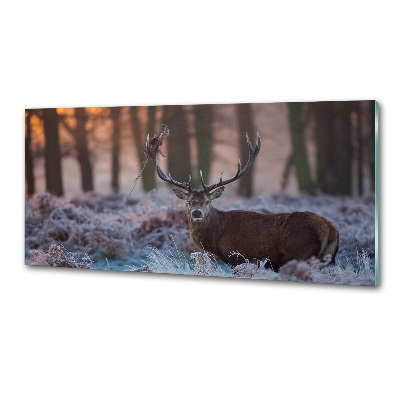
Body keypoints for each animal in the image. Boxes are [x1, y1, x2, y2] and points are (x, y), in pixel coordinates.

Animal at [145, 130, 340, 270]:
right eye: (189, 202)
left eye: (207, 201)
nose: (197, 213)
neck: (217, 238)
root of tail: (331, 229)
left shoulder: (237, 257)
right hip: (328, 259)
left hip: (302, 253)